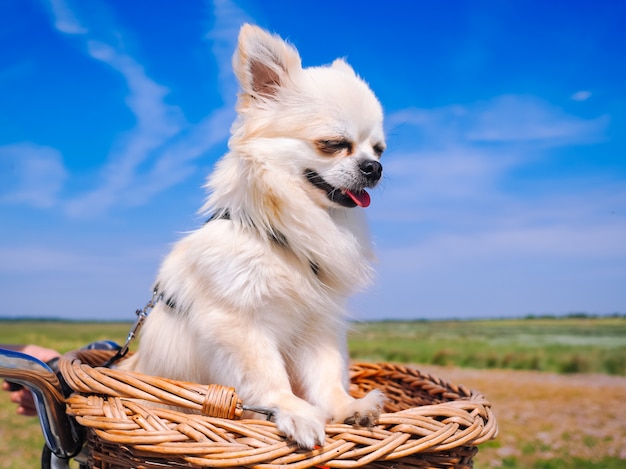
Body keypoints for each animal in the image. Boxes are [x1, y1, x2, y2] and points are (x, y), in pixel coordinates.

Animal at [120, 23, 386, 448]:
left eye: (379, 149)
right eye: (333, 145)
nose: (374, 168)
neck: (284, 240)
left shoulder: (316, 326)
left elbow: (325, 375)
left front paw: (347, 409)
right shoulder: (241, 326)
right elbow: (268, 376)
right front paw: (296, 414)